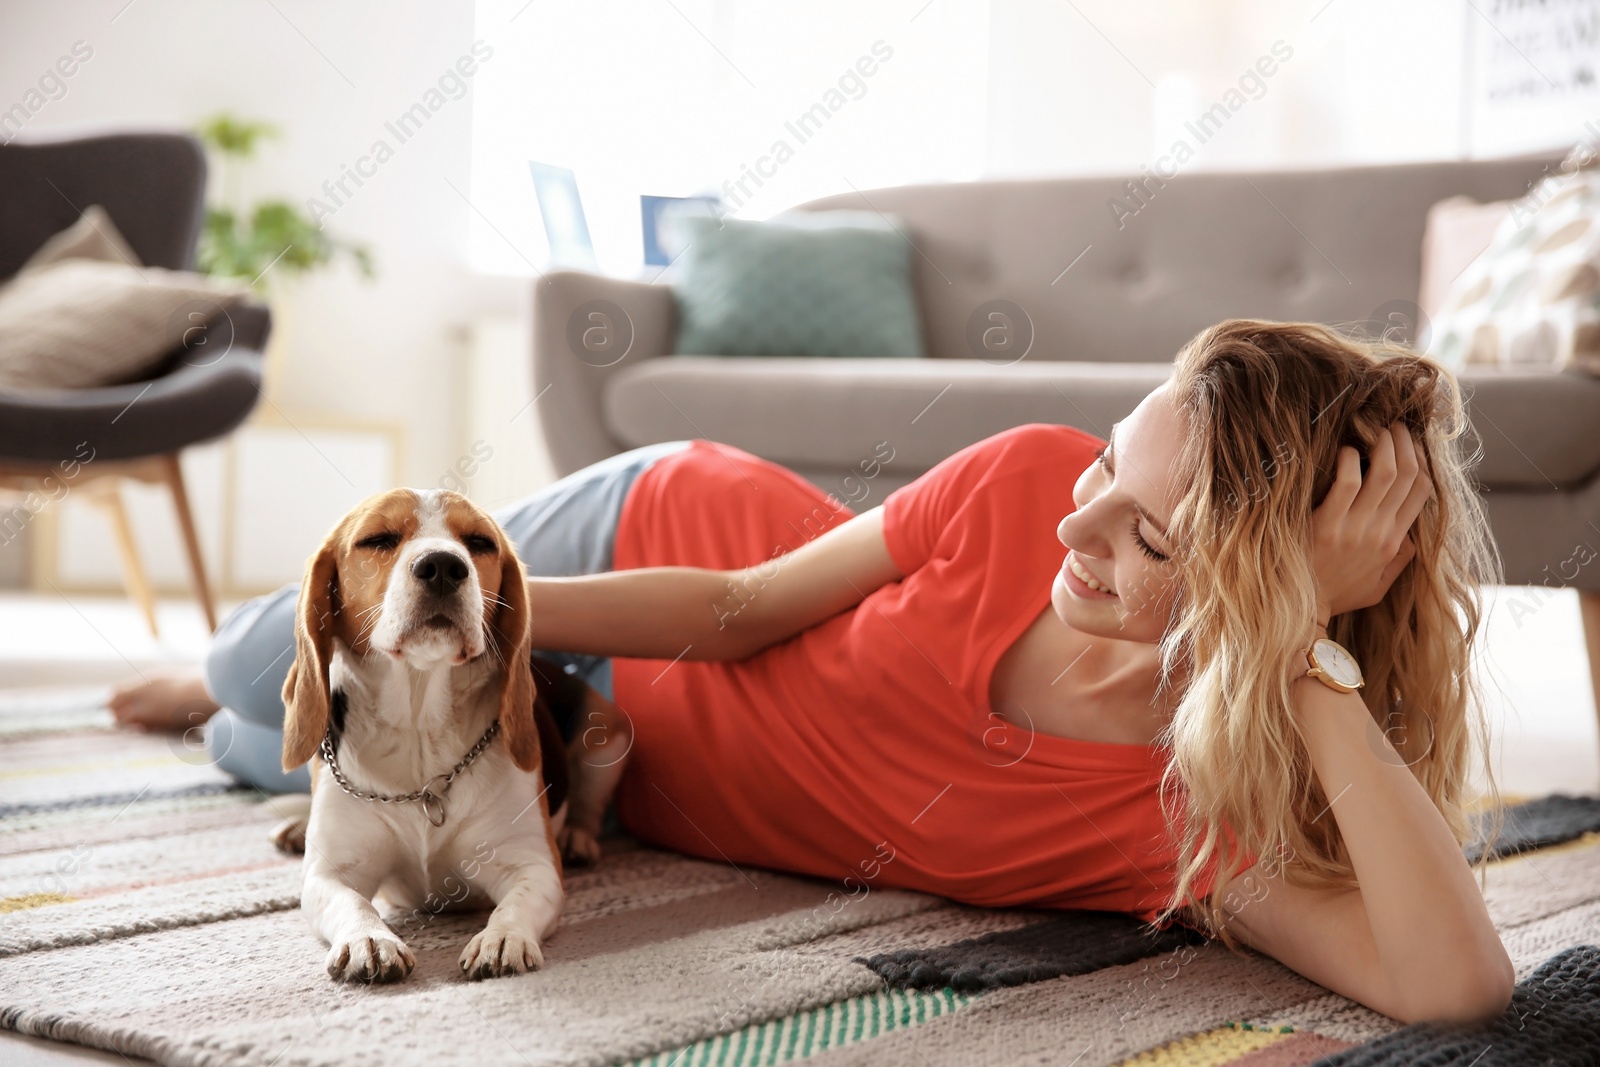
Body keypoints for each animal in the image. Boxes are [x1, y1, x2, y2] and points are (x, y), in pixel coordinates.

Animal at [272, 489, 627, 979]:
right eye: (378, 539)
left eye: (479, 543)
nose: (442, 565)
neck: (420, 726)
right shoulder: (330, 873)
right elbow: (353, 902)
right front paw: (369, 939)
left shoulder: (531, 866)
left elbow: (516, 902)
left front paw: (502, 938)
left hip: (606, 735)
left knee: (589, 804)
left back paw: (577, 838)